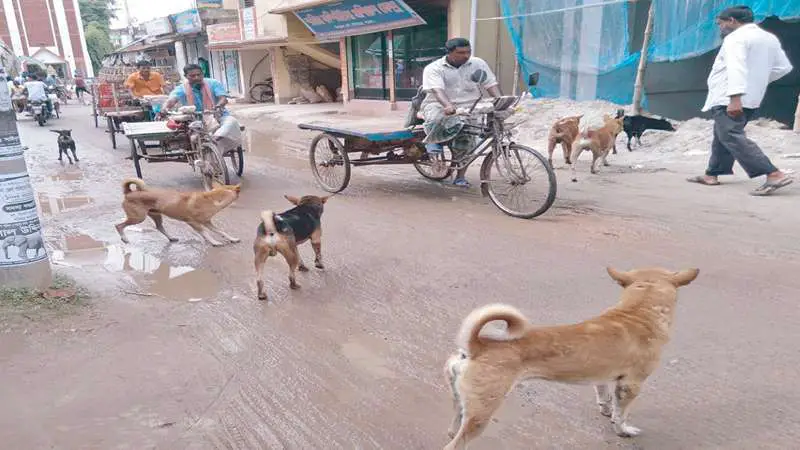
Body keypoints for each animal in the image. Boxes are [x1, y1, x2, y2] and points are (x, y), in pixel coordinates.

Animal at [444, 266, 700, 448]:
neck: (638, 312)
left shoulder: (603, 376)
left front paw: (606, 409)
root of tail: (476, 346)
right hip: (482, 412)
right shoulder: (632, 384)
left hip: (462, 405)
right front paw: (622, 430)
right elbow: (621, 414)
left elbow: (605, 397)